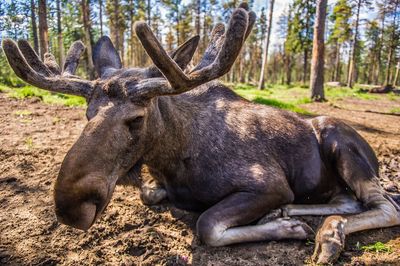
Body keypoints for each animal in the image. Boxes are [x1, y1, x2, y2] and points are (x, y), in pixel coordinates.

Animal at [3, 3, 400, 264]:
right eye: (87, 113)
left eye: (136, 118)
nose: (71, 206)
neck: (172, 157)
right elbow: (150, 193)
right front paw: (280, 218)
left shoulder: (269, 184)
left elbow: (207, 224)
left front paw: (288, 229)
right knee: (349, 201)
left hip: (338, 139)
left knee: (383, 205)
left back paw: (328, 235)